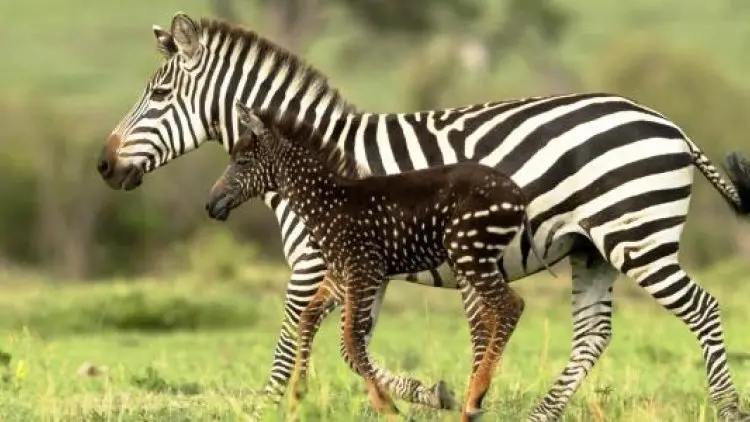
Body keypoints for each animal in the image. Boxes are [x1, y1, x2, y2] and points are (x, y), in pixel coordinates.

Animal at [206, 104, 533, 421]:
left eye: (243, 162)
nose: (210, 205)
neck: (327, 202)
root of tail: (517, 193)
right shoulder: (340, 275)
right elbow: (310, 319)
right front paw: (298, 399)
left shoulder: (364, 270)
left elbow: (351, 339)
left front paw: (387, 407)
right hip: (474, 258)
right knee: (492, 316)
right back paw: (472, 399)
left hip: (468, 253)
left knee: (510, 306)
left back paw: (475, 397)